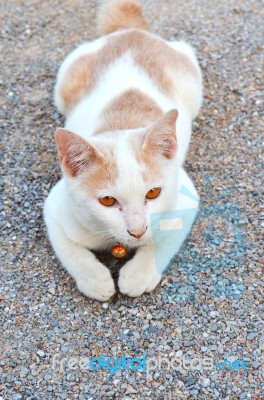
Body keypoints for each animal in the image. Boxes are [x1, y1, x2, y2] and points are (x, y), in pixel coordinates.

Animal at [44, 0, 203, 300]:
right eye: (107, 200)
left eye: (153, 193)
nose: (137, 231)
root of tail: (130, 31)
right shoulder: (55, 208)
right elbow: (70, 251)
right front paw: (95, 278)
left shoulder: (186, 199)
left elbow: (163, 239)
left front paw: (140, 273)